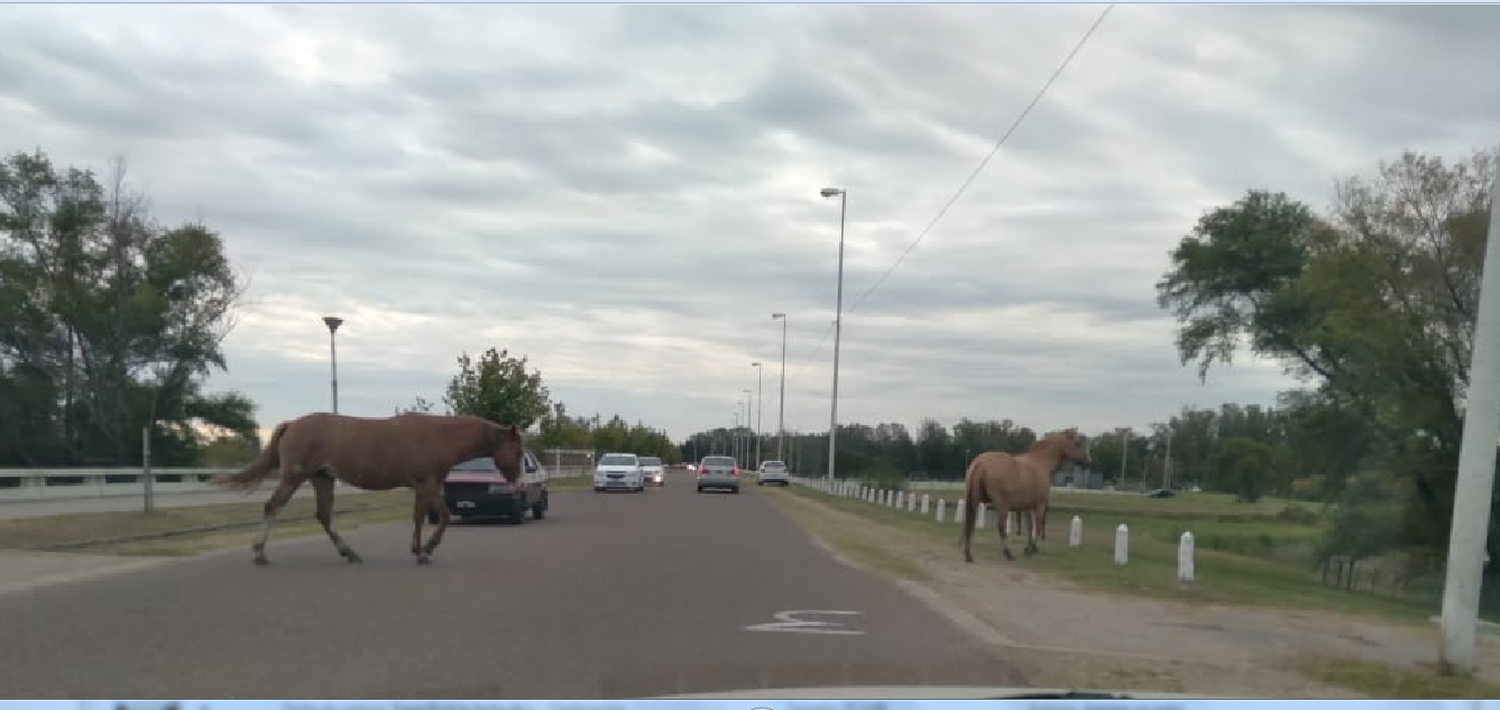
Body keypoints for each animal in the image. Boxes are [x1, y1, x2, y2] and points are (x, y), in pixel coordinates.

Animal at [214, 408, 525, 564]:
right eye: (519, 451)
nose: (519, 483)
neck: (438, 436)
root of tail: (292, 424)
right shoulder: (426, 484)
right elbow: (441, 516)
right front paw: (426, 550)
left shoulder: (425, 486)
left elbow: (422, 517)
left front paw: (418, 549)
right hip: (294, 477)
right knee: (273, 506)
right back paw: (259, 553)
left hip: (322, 478)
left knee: (323, 516)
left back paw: (349, 553)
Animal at [960, 429, 1092, 561]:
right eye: (1078, 443)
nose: (1088, 461)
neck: (1040, 462)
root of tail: (980, 462)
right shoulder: (1040, 505)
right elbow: (1037, 527)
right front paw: (1031, 549)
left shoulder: (1027, 507)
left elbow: (1029, 527)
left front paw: (1028, 548)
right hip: (1002, 505)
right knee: (1001, 527)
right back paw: (1008, 553)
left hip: (975, 501)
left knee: (970, 524)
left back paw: (968, 555)